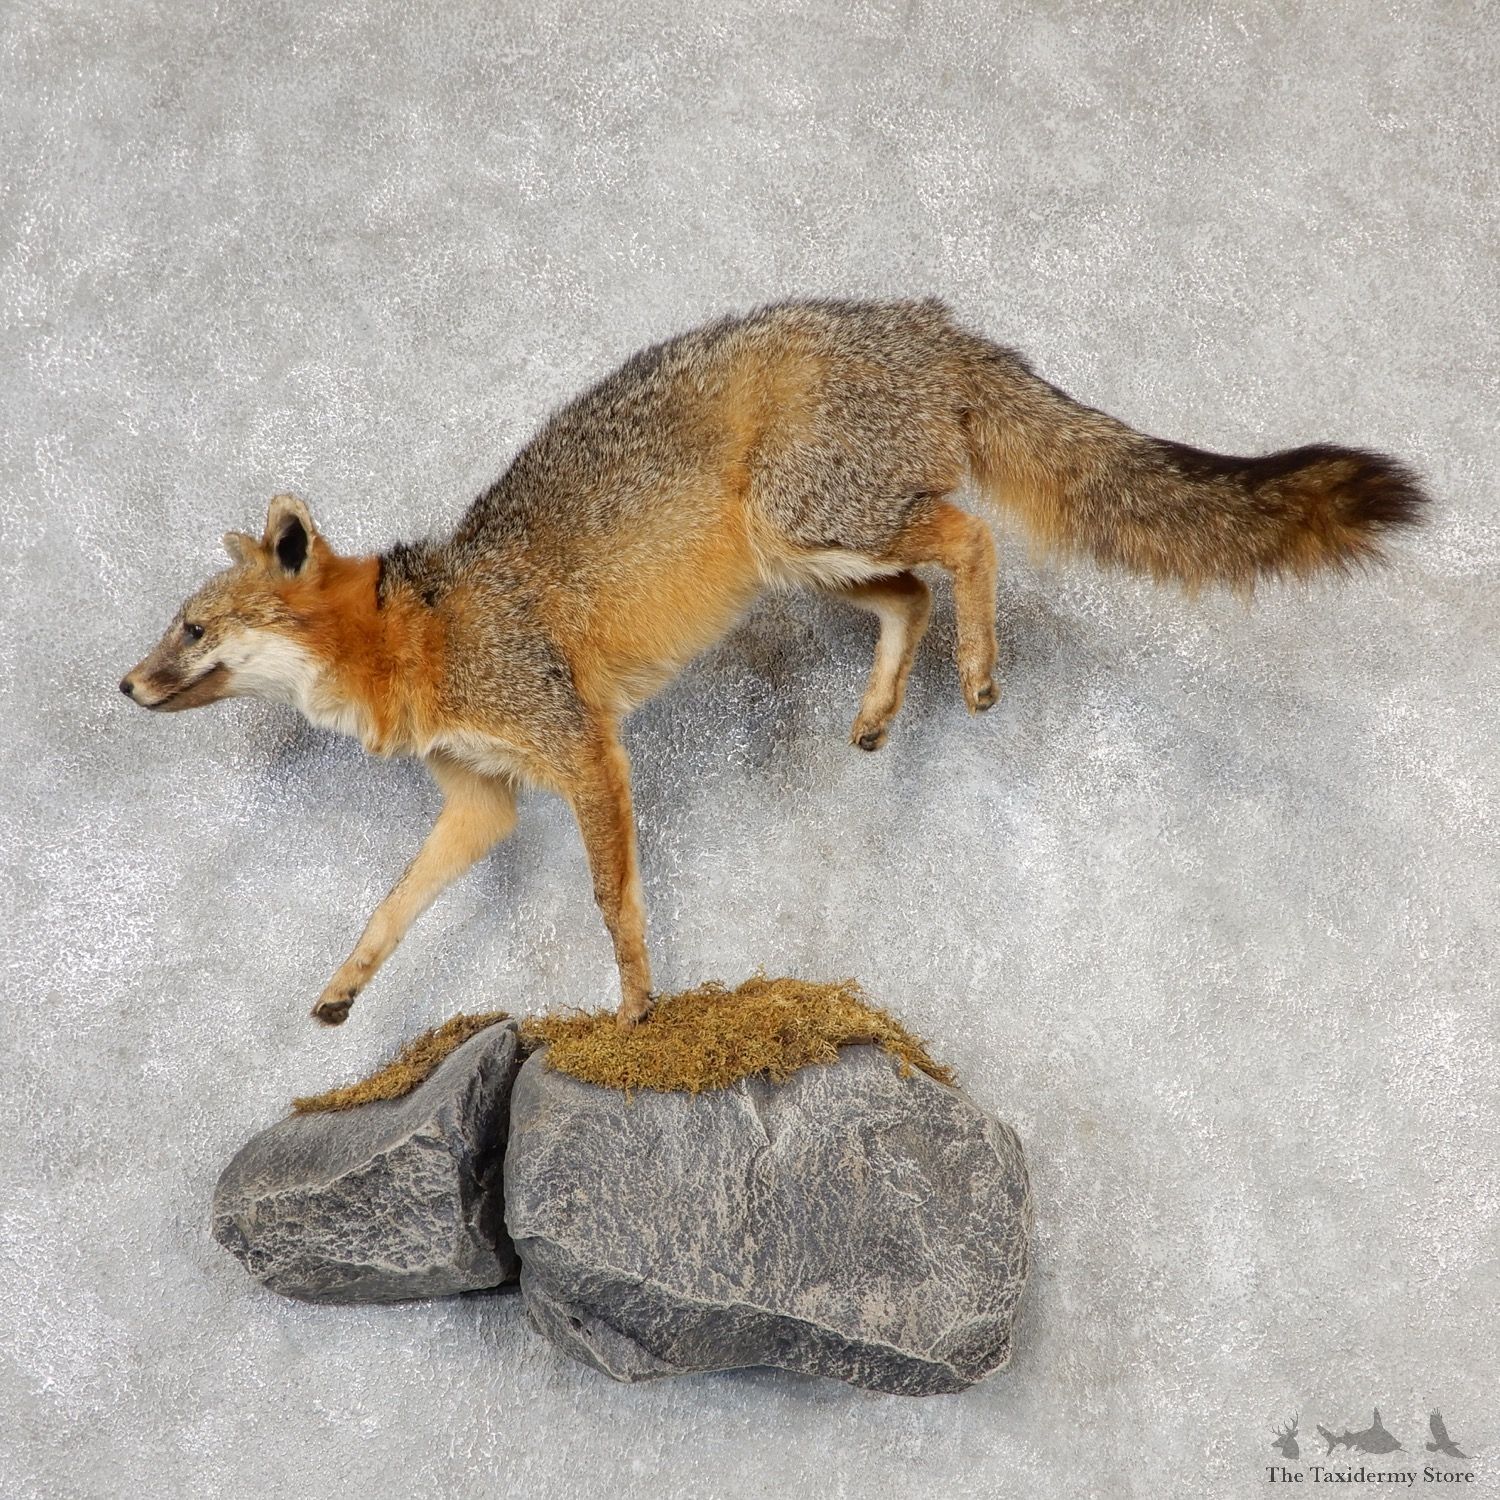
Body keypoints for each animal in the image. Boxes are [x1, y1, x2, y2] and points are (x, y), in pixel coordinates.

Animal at [120, 297, 1428, 1029]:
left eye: (192, 630)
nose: (123, 688)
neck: (421, 632)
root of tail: (921, 316)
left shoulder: (586, 751)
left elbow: (616, 902)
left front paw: (638, 1009)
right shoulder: (482, 800)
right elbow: (390, 906)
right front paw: (345, 985)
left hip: (810, 525)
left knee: (970, 536)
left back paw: (981, 665)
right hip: (810, 558)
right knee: (915, 590)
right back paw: (885, 705)